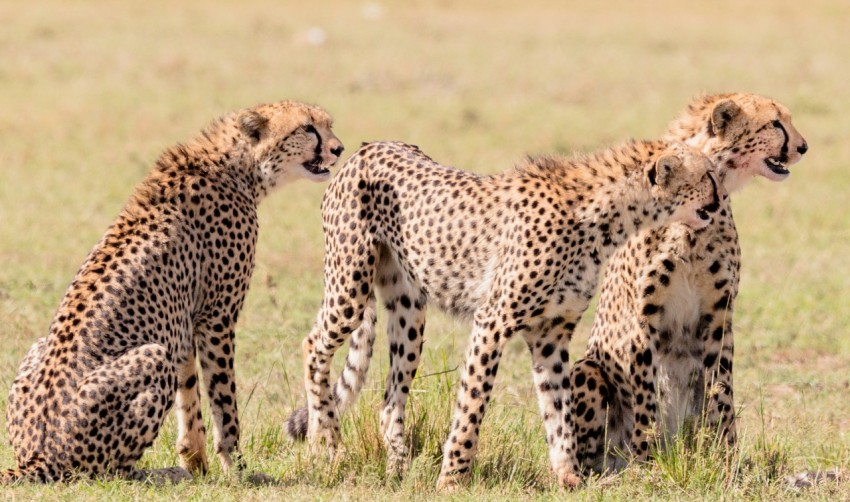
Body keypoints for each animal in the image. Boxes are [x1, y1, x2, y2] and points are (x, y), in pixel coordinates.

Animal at [4, 99, 342, 482]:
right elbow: (223, 400)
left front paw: (196, 463)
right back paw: (156, 473)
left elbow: (189, 390)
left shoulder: (183, 321)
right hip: (150, 360)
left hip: (40, 345)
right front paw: (237, 469)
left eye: (328, 124)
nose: (338, 148)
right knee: (103, 471)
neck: (238, 165)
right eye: (307, 128)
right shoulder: (216, 318)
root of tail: (34, 457)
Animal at [294, 138, 720, 490]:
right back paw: (325, 441)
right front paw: (453, 479)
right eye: (707, 176)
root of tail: (367, 148)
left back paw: (397, 464)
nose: (719, 204)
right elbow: (472, 405)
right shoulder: (493, 322)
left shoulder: (551, 333)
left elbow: (558, 410)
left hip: (408, 312)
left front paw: (568, 475)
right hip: (350, 286)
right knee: (313, 345)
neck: (605, 218)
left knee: (389, 401)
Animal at [568, 93, 804, 474]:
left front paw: (726, 458)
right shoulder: (643, 318)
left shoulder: (718, 316)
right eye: (775, 123)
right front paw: (647, 462)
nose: (803, 147)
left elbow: (720, 390)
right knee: (593, 451)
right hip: (587, 370)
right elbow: (646, 396)